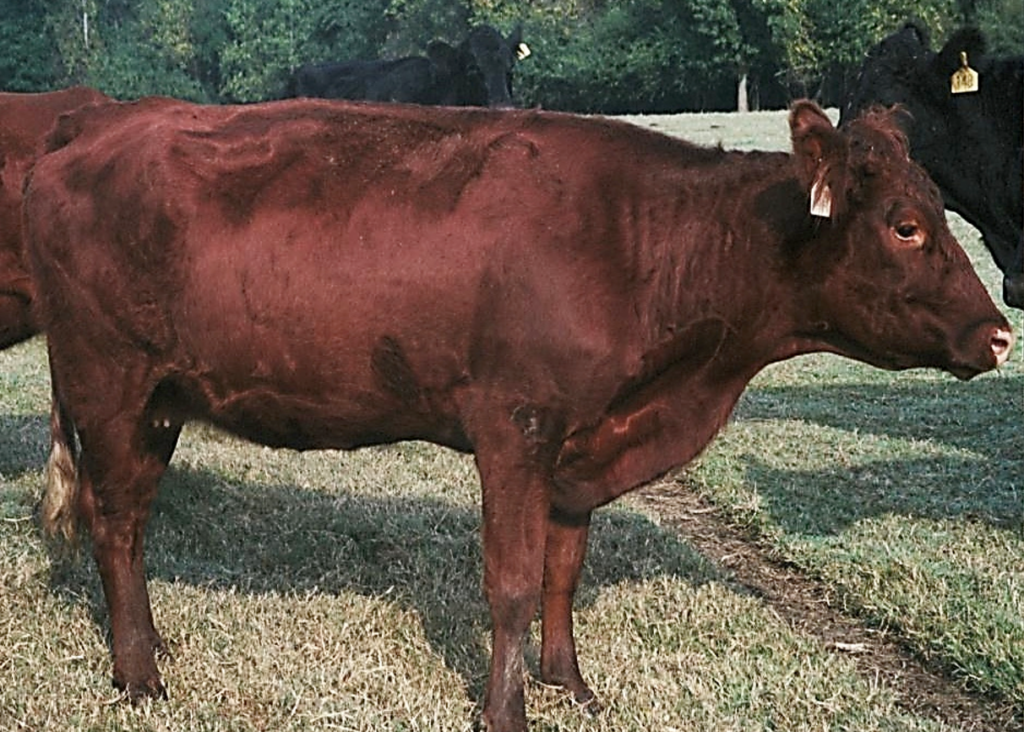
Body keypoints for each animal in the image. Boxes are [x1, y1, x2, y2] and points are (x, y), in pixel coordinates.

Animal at [25, 97, 1012, 732]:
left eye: (937, 211)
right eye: (905, 226)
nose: (1000, 333)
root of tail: (90, 131)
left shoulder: (580, 446)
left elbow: (559, 574)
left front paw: (571, 685)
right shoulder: (514, 428)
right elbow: (507, 583)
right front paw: (508, 711)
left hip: (159, 403)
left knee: (132, 521)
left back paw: (155, 647)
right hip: (110, 381)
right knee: (115, 524)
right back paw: (139, 677)